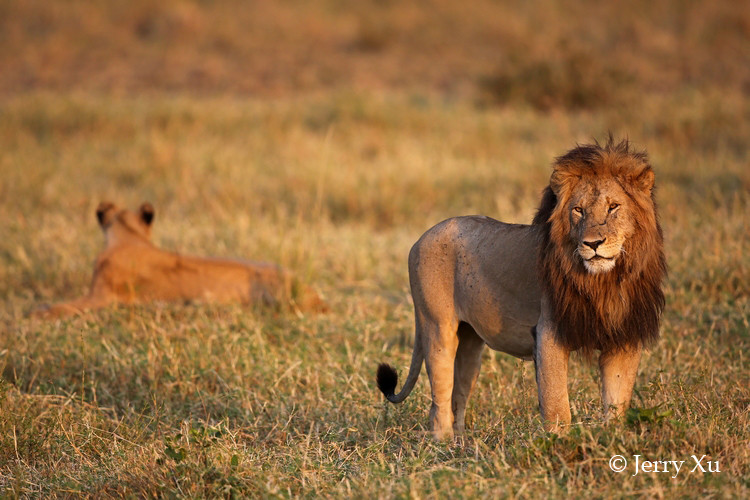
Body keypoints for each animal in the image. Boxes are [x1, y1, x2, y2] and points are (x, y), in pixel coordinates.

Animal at [378, 137, 668, 438]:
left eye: (613, 207)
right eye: (578, 210)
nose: (593, 243)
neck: (604, 280)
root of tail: (419, 239)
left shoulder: (623, 336)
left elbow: (616, 403)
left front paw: (613, 440)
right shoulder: (548, 333)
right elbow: (556, 405)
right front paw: (558, 443)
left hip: (469, 342)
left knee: (458, 397)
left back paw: (462, 445)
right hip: (437, 327)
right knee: (439, 402)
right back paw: (443, 445)